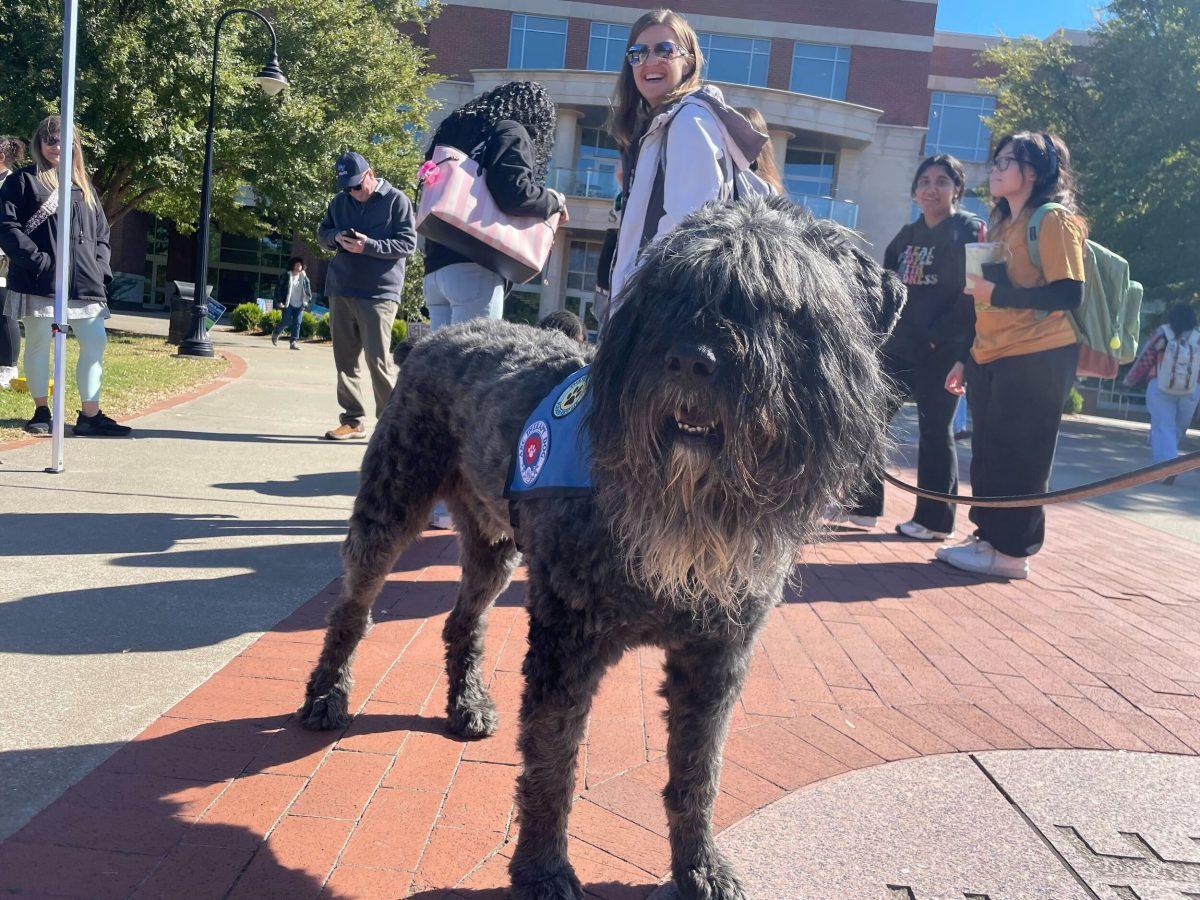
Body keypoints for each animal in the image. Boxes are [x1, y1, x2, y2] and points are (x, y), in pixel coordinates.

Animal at [300, 199, 902, 900]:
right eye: (668, 293)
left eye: (779, 304)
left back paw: (466, 704)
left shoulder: (715, 659)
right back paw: (327, 696)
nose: (691, 359)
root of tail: (432, 335)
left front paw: (698, 866)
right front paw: (543, 869)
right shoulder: (567, 644)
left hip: (494, 546)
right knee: (352, 610)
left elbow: (698, 774)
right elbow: (552, 765)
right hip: (393, 507)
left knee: (461, 621)